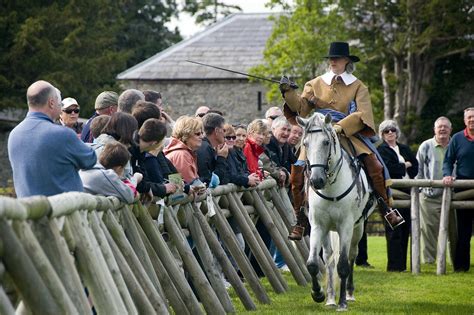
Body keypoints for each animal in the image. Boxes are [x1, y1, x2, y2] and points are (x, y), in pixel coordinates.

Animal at [298, 113, 376, 312]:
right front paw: (318, 294)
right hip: (328, 230)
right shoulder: (318, 226)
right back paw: (331, 298)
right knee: (329, 258)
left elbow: (343, 265)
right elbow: (313, 263)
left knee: (351, 256)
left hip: (357, 229)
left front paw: (342, 303)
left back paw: (348, 294)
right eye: (305, 144)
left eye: (326, 142)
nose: (316, 180)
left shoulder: (346, 226)